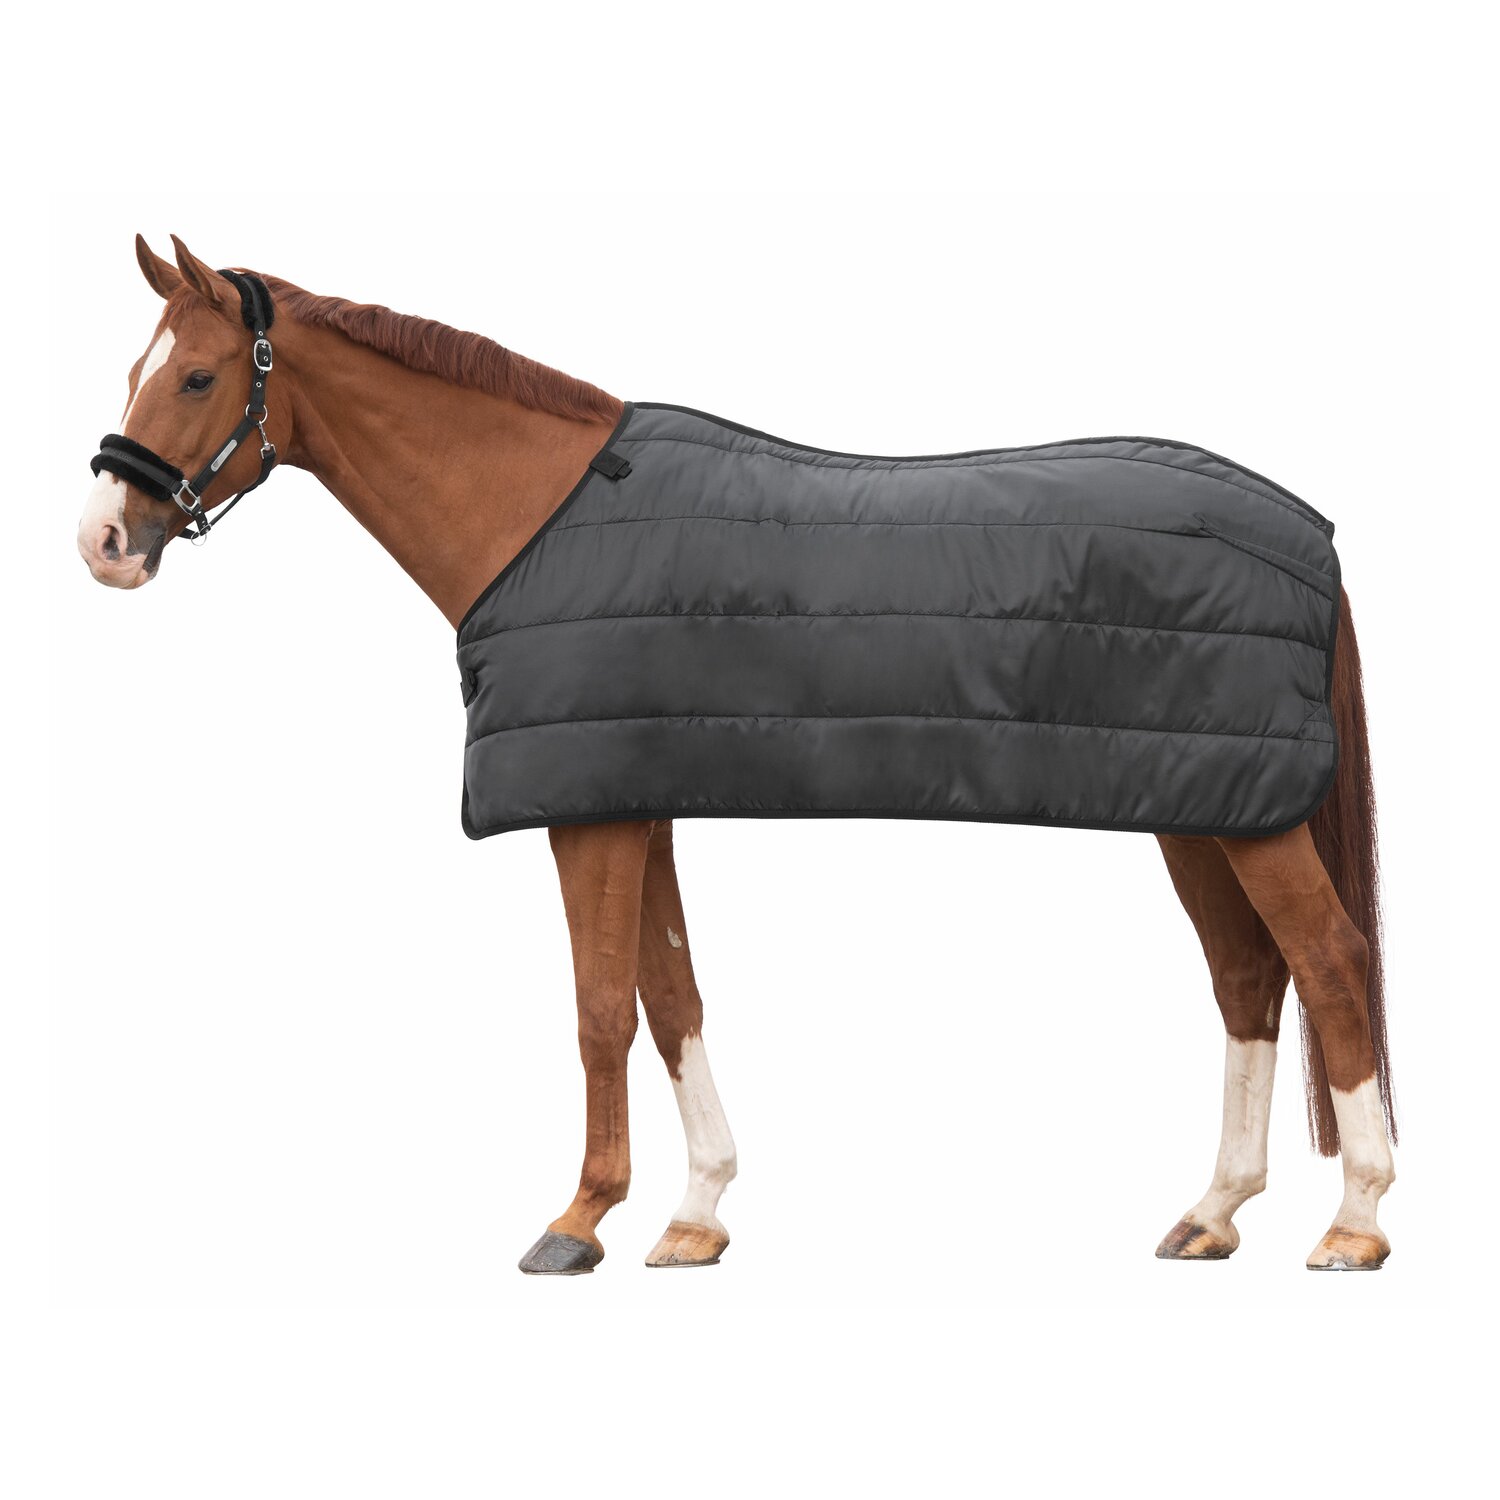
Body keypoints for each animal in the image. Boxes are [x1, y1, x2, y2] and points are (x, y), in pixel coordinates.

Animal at [77, 234, 1397, 1274]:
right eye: (139, 369)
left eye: (196, 374)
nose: (102, 541)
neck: (535, 516)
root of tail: (1313, 534)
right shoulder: (639, 791)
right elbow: (670, 996)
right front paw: (694, 1214)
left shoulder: (589, 811)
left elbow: (599, 1009)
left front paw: (579, 1219)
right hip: (1201, 806)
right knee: (1248, 977)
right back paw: (1214, 1214)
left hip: (1253, 813)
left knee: (1331, 964)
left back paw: (1356, 1224)